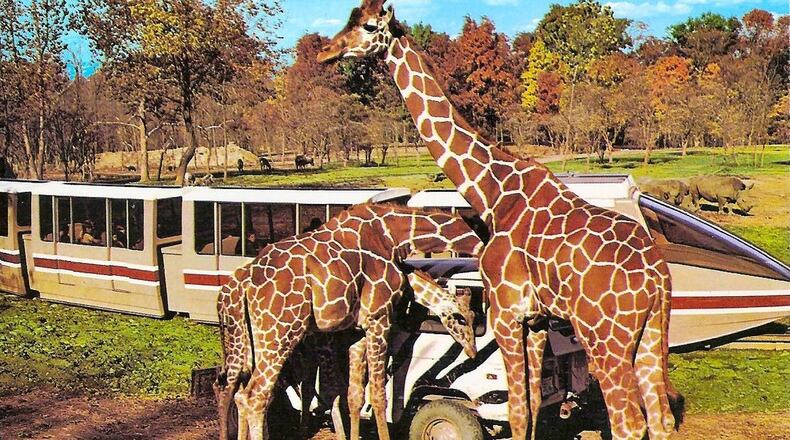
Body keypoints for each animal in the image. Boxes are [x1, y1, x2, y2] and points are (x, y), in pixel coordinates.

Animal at [213, 203, 482, 440]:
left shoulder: (357, 332)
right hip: (281, 333)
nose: (472, 352)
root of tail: (242, 285)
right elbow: (378, 395)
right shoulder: (378, 319)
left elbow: (353, 395)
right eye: (462, 318)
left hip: (248, 339)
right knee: (255, 396)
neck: (392, 235)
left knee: (237, 390)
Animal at [317, 3, 684, 439]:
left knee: (629, 422)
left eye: (369, 27)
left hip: (605, 338)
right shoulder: (537, 321)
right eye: (349, 16)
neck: (493, 193)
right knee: (661, 418)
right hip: (651, 333)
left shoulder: (505, 313)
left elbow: (517, 411)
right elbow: (533, 403)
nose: (324, 52)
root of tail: (657, 277)